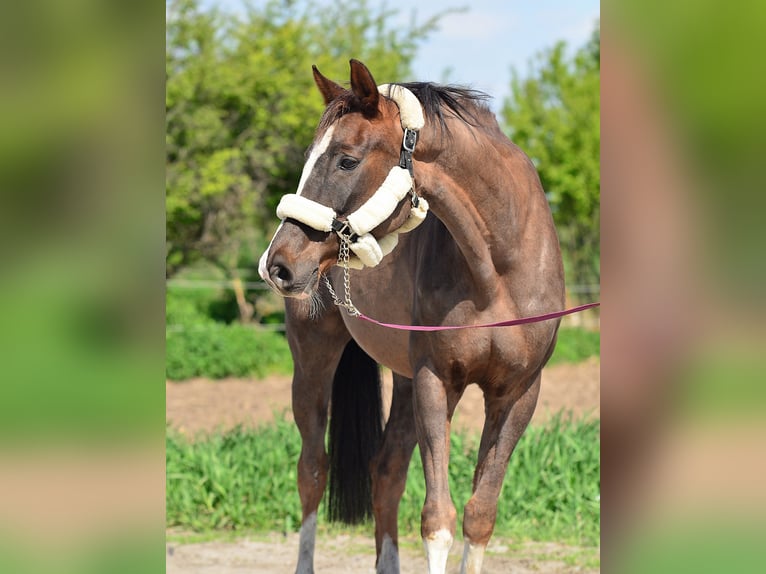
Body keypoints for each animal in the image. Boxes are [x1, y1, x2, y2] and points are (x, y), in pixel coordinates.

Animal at [260, 59, 568, 574]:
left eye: (346, 159)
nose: (276, 263)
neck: (498, 267)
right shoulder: (435, 381)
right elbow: (437, 520)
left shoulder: (517, 393)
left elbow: (480, 514)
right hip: (313, 360)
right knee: (312, 471)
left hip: (402, 380)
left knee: (385, 471)